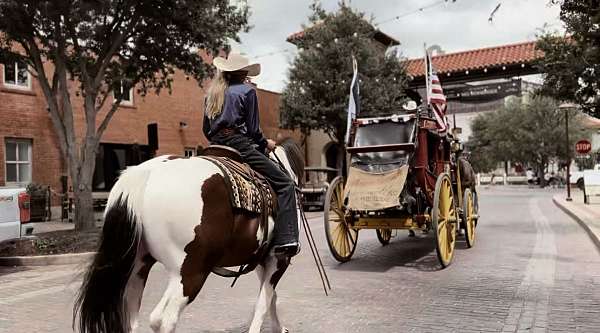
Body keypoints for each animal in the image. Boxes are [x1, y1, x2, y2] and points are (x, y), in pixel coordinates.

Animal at [74, 138, 304, 332]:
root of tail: (146, 173)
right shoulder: (278, 259)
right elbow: (264, 301)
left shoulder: (260, 261)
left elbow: (271, 297)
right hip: (191, 272)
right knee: (166, 319)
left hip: (139, 268)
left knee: (137, 320)